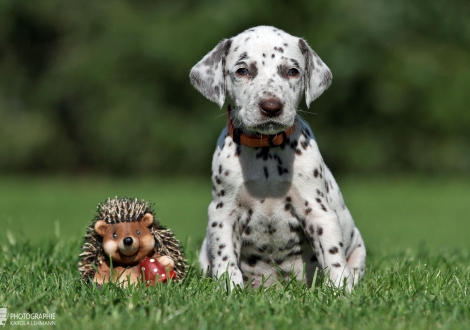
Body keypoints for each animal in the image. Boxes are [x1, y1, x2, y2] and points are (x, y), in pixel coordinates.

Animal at [189, 25, 366, 290]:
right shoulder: (223, 214)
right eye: (243, 70)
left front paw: (339, 289)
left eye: (292, 71)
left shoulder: (318, 211)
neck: (266, 151)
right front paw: (230, 288)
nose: (271, 107)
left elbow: (333, 254)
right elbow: (225, 256)